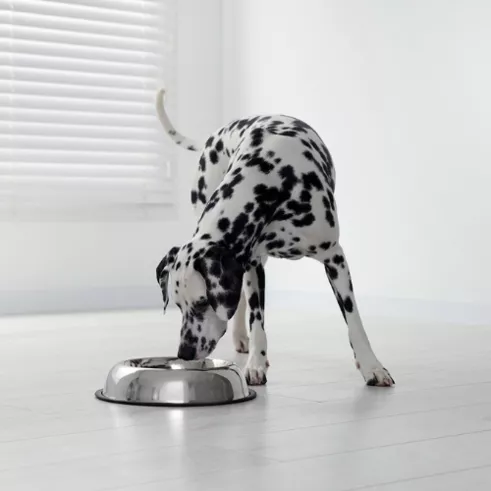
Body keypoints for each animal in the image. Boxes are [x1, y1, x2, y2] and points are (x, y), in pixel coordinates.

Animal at [156, 88, 394, 388]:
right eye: (178, 304)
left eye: (201, 302)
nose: (184, 352)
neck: (271, 181)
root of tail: (214, 135)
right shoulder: (252, 265)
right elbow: (257, 319)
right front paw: (256, 363)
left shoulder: (335, 258)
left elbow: (354, 321)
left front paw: (372, 366)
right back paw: (242, 339)